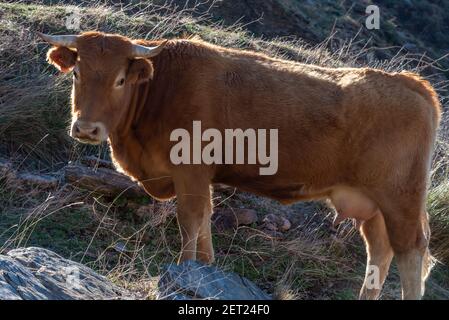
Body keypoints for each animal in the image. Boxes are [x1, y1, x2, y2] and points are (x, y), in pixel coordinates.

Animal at [39, 31, 440, 298]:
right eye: (76, 74)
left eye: (120, 80)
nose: (86, 128)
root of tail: (410, 82)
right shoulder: (200, 177)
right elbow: (204, 222)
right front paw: (205, 269)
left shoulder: (191, 170)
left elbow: (189, 220)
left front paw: (185, 271)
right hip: (373, 206)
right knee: (380, 251)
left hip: (400, 198)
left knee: (410, 252)